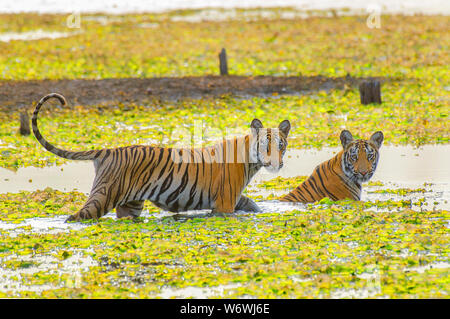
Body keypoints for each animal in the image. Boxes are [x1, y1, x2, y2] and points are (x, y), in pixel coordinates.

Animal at [32, 94, 292, 221]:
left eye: (281, 145)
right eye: (266, 145)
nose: (276, 163)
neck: (250, 160)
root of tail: (108, 150)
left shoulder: (233, 199)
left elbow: (253, 205)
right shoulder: (224, 204)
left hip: (130, 206)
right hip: (102, 197)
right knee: (75, 216)